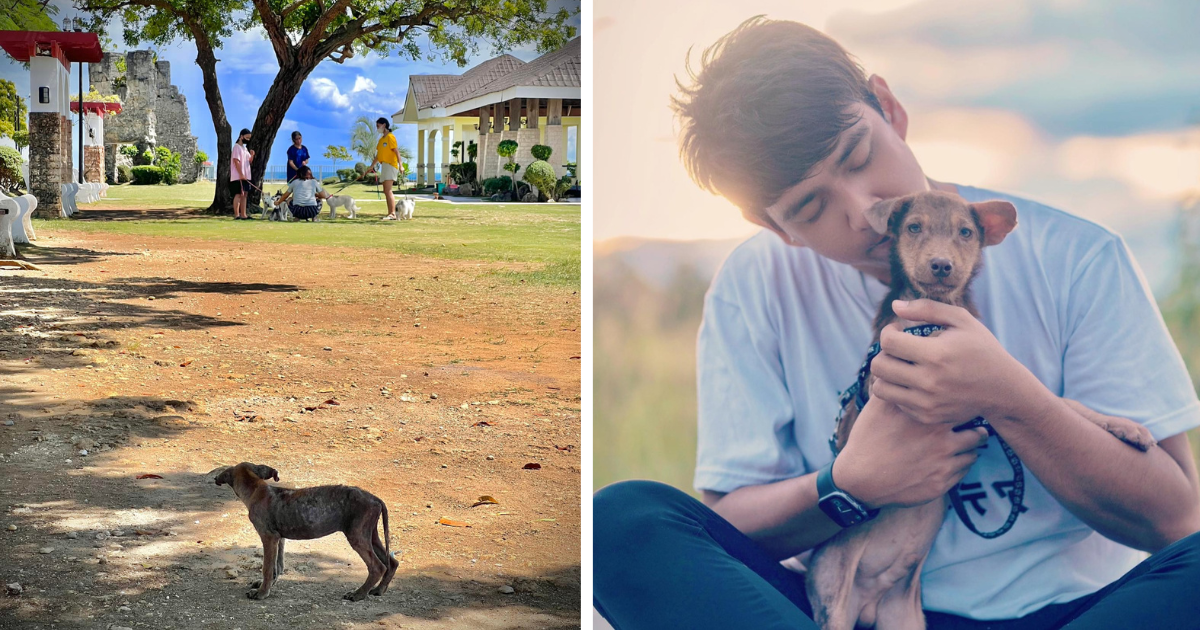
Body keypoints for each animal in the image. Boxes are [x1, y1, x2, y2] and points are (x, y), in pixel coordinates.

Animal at [213, 460, 400, 600]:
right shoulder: (279, 538)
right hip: (370, 535)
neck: (256, 488)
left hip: (357, 536)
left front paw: (261, 593)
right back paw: (378, 590)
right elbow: (277, 566)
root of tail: (374, 498)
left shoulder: (268, 537)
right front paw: (267, 585)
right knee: (392, 562)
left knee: (378, 566)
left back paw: (358, 594)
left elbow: (267, 567)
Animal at [806, 192, 1152, 628]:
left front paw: (1124, 426)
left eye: (966, 233)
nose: (941, 265)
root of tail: (867, 604)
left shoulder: (992, 393)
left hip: (904, 616)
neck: (938, 311)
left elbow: (1058, 400)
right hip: (833, 598)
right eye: (913, 228)